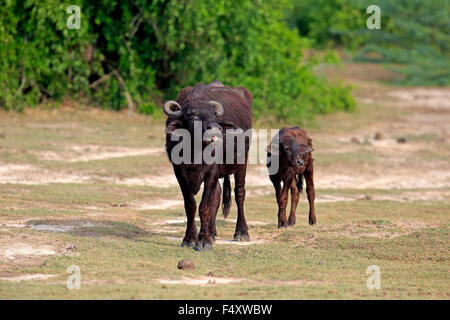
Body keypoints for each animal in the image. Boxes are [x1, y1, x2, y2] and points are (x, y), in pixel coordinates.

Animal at [163, 80, 253, 250]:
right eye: (192, 115)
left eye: (213, 115)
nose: (216, 129)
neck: (194, 152)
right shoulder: (179, 173)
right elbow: (190, 205)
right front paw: (190, 239)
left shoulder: (211, 172)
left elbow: (204, 206)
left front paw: (203, 242)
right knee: (217, 195)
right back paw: (212, 234)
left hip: (242, 161)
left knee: (240, 193)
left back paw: (241, 232)